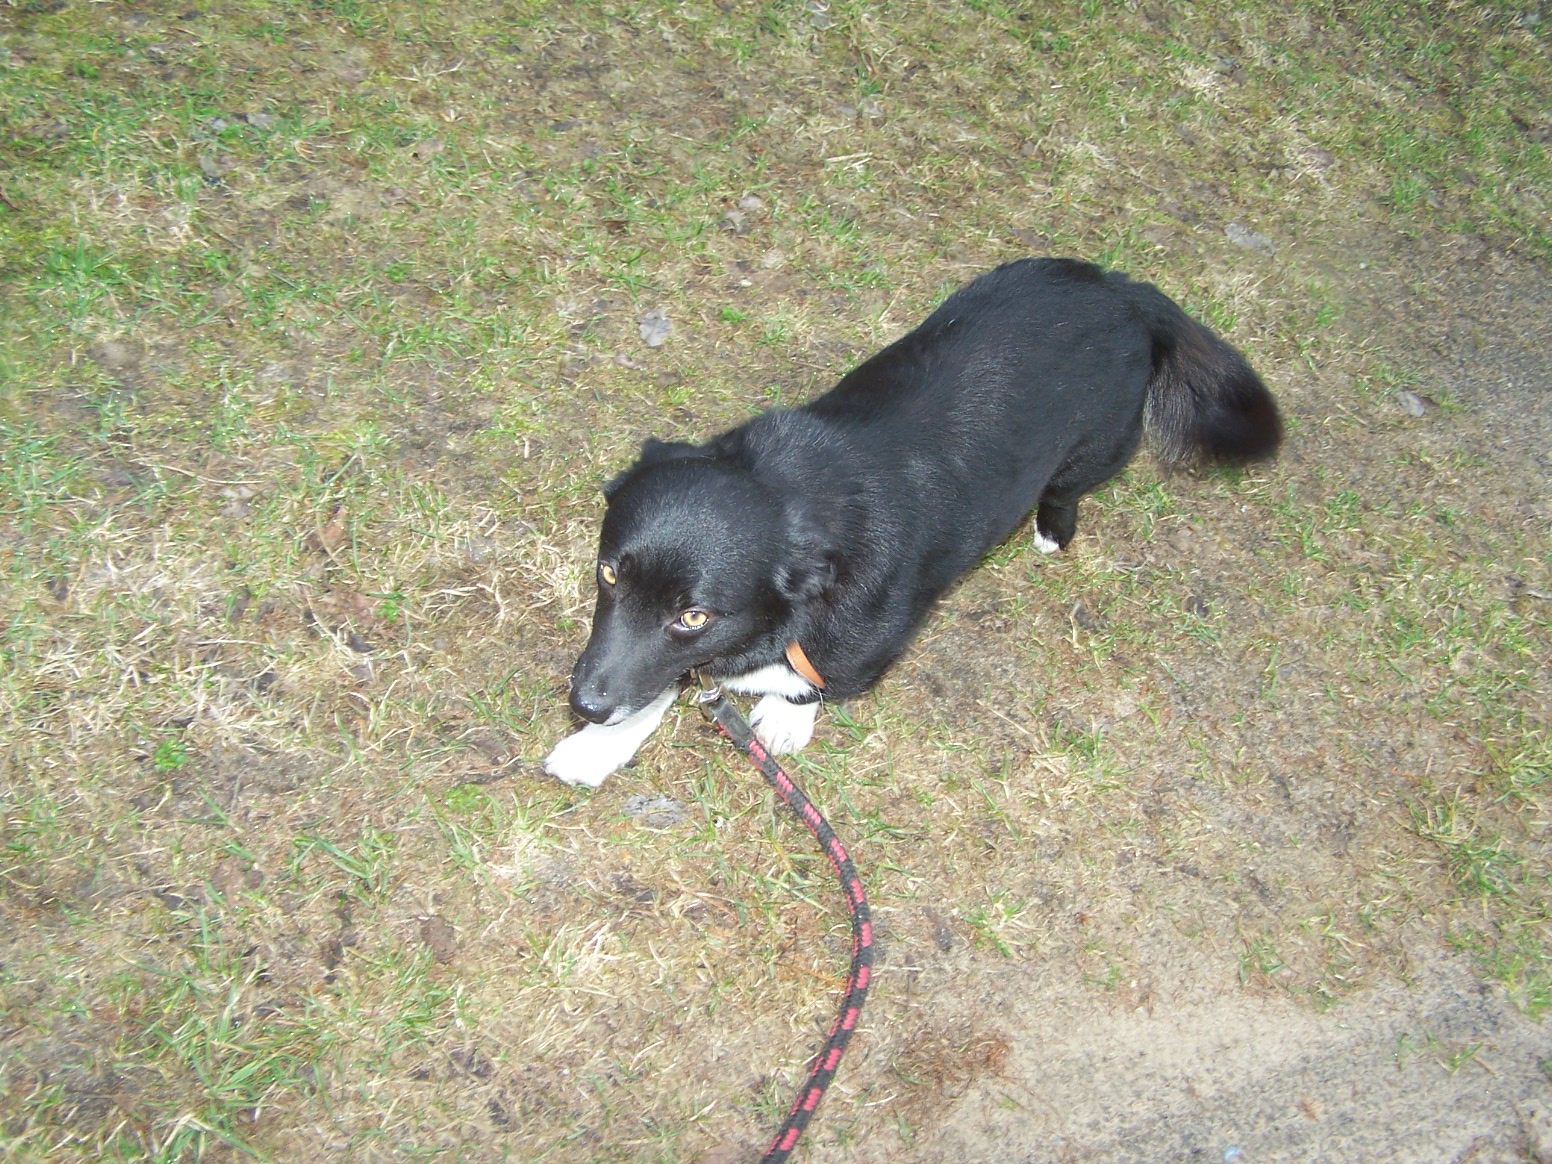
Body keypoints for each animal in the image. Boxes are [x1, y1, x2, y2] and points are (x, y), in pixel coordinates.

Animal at [543, 257, 1281, 788]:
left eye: (692, 615)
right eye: (608, 574)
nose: (583, 704)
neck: (792, 494)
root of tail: (1126, 291)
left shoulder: (863, 640)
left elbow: (812, 683)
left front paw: (784, 719)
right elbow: (661, 681)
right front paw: (598, 745)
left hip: (1101, 444)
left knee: (1070, 486)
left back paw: (1052, 528)